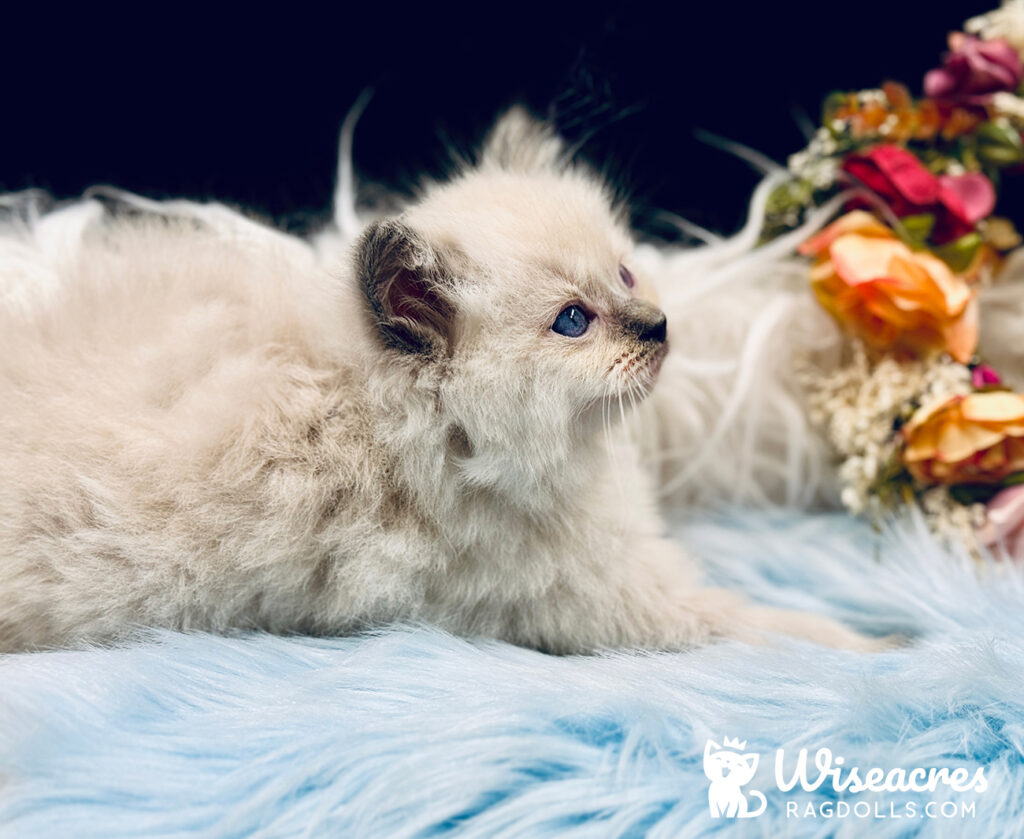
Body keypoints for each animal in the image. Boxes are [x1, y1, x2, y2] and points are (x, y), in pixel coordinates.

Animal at [0, 106, 880, 655]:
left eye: (627, 273)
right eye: (573, 321)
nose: (659, 327)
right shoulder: (605, 598)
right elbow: (774, 626)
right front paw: (878, 642)